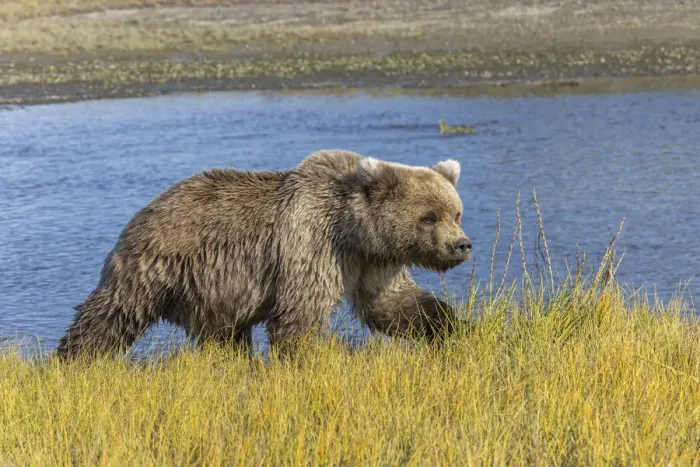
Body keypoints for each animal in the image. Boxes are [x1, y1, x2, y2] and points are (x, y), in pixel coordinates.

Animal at [55, 149, 472, 358]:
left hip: (212, 293)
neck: (356, 233)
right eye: (428, 216)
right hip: (156, 264)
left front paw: (450, 327)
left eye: (456, 213)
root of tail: (144, 210)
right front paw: (314, 362)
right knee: (111, 315)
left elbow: (391, 304)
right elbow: (300, 317)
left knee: (223, 336)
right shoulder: (313, 245)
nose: (462, 245)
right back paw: (74, 359)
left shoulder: (373, 263)